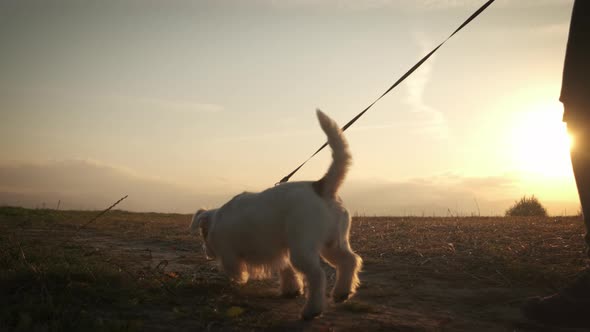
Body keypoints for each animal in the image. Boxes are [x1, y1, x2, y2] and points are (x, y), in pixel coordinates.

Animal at [192, 109, 364, 320]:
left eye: (203, 234)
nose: (205, 251)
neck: (217, 220)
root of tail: (321, 186)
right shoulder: (280, 250)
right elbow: (287, 270)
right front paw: (291, 289)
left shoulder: (229, 253)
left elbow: (234, 268)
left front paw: (240, 278)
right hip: (332, 244)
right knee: (350, 260)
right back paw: (342, 292)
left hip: (303, 249)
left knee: (317, 276)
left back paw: (312, 309)